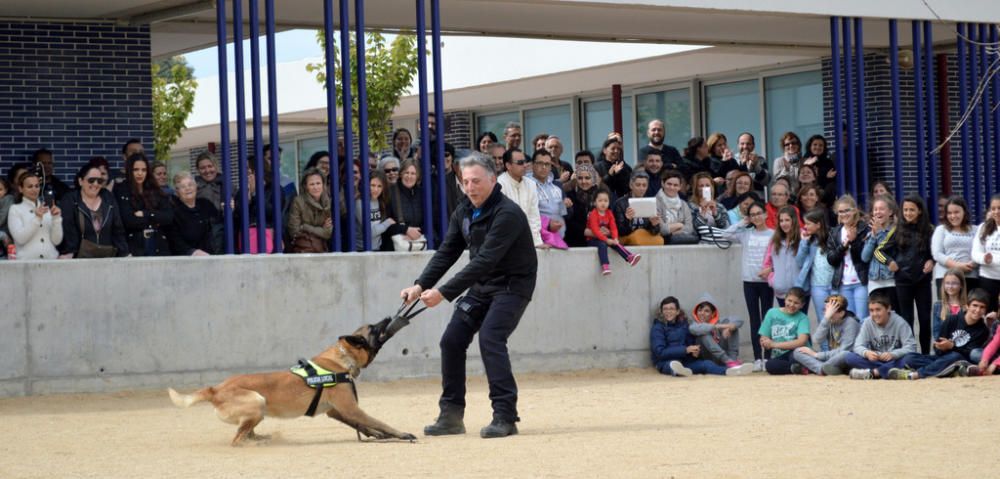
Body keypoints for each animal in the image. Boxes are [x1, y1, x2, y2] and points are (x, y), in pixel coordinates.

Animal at [167, 320, 414, 448]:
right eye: (374, 328)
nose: (389, 317)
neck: (342, 359)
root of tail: (215, 389)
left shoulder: (336, 411)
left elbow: (363, 426)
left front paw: (378, 436)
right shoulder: (351, 408)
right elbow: (379, 422)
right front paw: (401, 434)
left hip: (258, 410)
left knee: (246, 432)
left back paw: (262, 439)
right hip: (257, 401)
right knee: (237, 440)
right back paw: (256, 444)